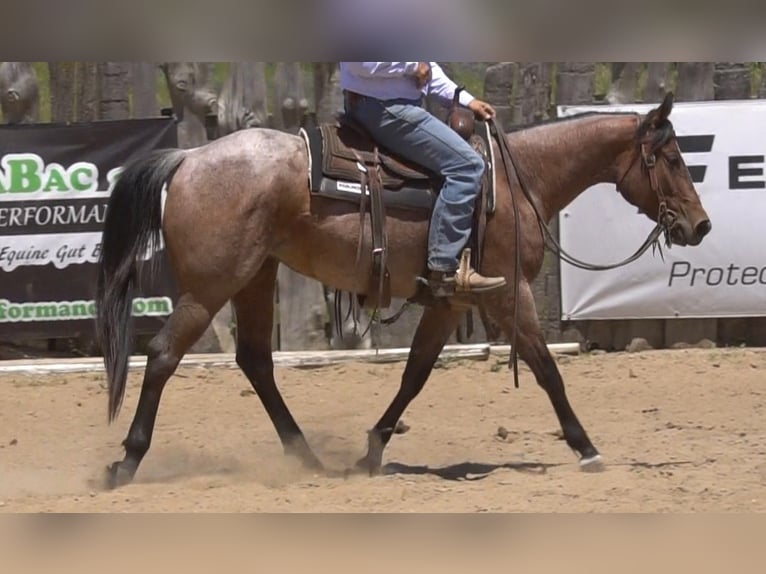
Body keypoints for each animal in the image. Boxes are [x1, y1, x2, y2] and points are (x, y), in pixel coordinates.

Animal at [95, 92, 711, 489]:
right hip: (211, 286)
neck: (518, 183)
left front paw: (372, 448)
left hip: (255, 276)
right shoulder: (508, 293)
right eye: (674, 158)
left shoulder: (451, 300)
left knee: (254, 361)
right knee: (163, 354)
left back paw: (307, 456)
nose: (700, 226)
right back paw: (126, 463)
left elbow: (415, 374)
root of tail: (188, 157)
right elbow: (546, 368)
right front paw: (586, 448)